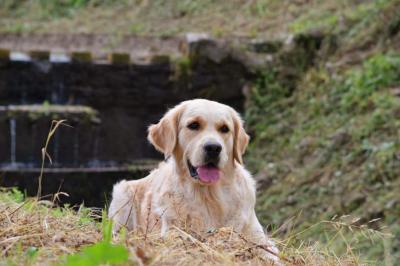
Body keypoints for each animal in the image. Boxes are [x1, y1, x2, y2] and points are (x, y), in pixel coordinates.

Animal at [108, 99, 280, 262]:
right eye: (194, 125)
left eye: (224, 129)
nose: (213, 148)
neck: (210, 197)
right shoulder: (171, 230)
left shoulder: (259, 238)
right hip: (122, 197)